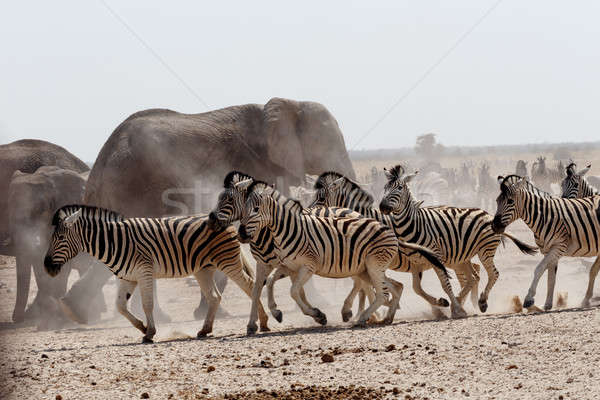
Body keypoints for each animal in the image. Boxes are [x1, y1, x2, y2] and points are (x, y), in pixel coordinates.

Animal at [45, 205, 270, 342]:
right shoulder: (127, 277)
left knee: (251, 286)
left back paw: (260, 323)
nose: (47, 266)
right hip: (203, 270)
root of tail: (226, 221)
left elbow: (147, 304)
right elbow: (120, 306)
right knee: (214, 296)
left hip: (228, 261)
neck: (114, 241)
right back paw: (205, 330)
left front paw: (150, 333)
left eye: (61, 238)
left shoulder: (144, 271)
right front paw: (142, 327)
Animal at [310, 170, 474, 318]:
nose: (309, 211)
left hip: (452, 257)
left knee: (466, 276)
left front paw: (369, 311)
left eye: (321, 197)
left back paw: (461, 305)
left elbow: (365, 284)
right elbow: (365, 284)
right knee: (471, 274)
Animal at [380, 165, 540, 312]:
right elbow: (416, 288)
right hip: (462, 255)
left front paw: (456, 307)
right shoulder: (416, 262)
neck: (414, 224)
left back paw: (481, 302)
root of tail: (489, 215)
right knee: (473, 278)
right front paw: (442, 302)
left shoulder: (435, 257)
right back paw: (461, 300)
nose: (382, 207)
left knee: (493, 274)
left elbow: (445, 284)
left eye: (399, 188)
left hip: (485, 250)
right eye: (385, 187)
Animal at [492, 175, 600, 310]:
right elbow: (550, 277)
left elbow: (539, 269)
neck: (544, 217)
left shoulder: (558, 247)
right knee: (594, 270)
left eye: (510, 201)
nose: (494, 226)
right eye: (497, 201)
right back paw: (586, 300)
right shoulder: (549, 250)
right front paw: (547, 304)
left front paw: (529, 298)